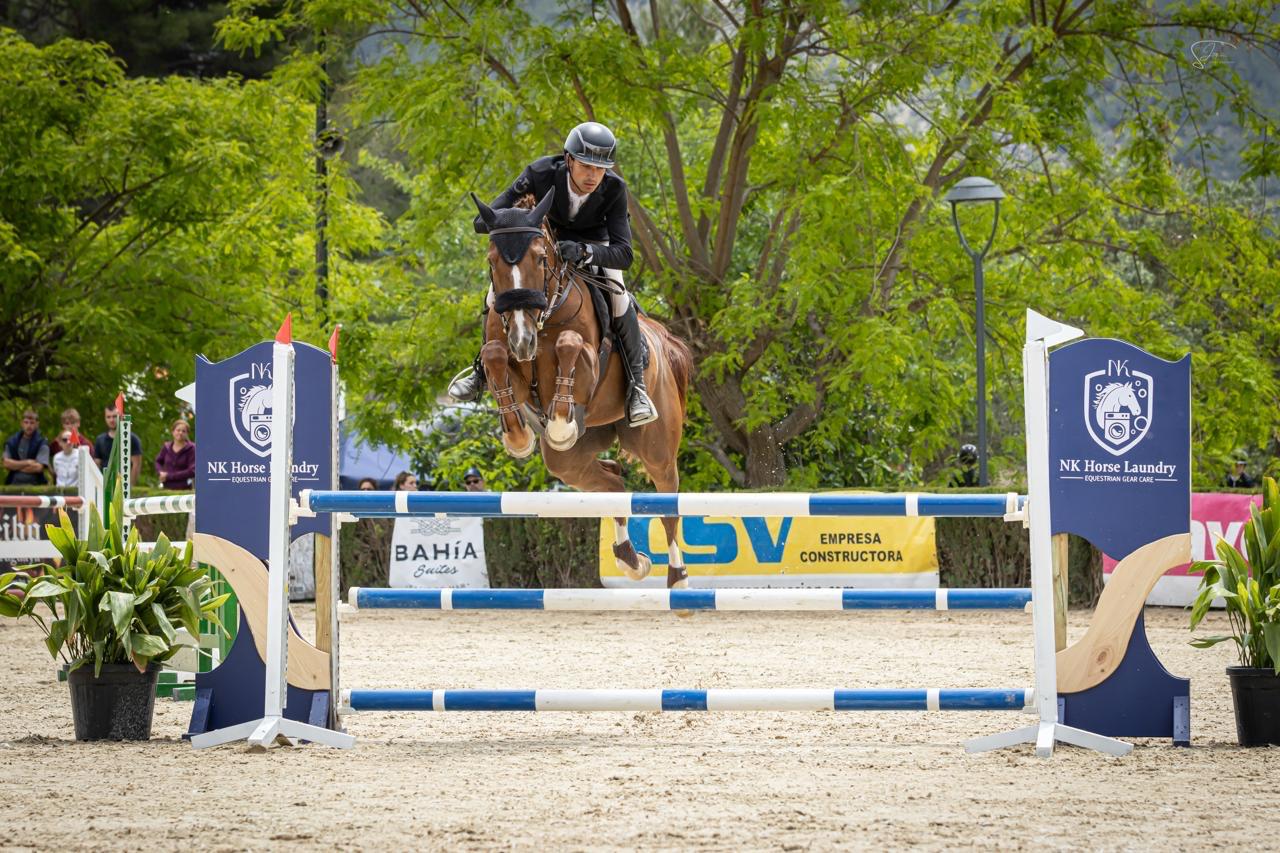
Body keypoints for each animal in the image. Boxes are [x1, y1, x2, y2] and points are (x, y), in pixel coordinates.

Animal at [471, 188, 692, 588]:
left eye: (541, 258)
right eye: (492, 261)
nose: (523, 340)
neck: (544, 316)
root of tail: (663, 339)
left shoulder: (588, 365)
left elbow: (570, 344)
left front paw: (558, 423)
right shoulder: (514, 370)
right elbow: (494, 354)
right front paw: (518, 436)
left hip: (656, 448)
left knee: (669, 502)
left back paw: (677, 579)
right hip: (569, 461)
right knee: (613, 483)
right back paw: (630, 560)